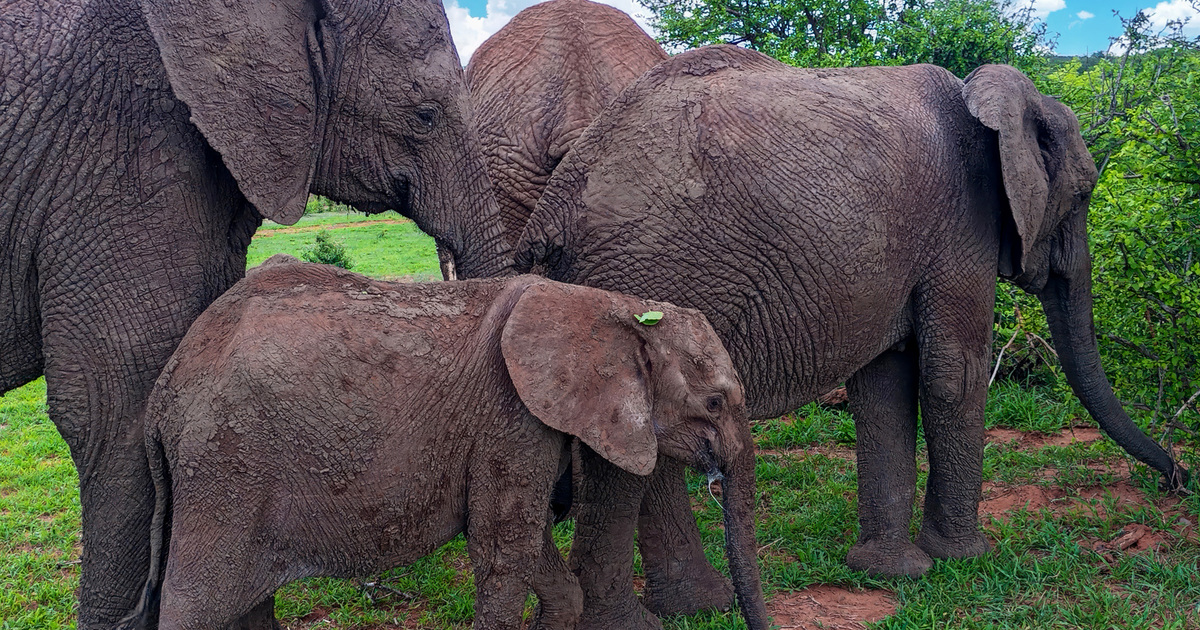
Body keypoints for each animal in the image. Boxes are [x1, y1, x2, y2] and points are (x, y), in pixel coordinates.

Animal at [116, 255, 768, 630]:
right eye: (715, 401)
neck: (610, 305)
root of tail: (166, 390)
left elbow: (534, 552)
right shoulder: (509, 415)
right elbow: (503, 551)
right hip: (225, 463)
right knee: (193, 604)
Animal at [515, 44, 1189, 623]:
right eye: (1083, 193)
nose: (1176, 480)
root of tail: (553, 209)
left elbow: (883, 384)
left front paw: (891, 573)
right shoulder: (961, 225)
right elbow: (955, 373)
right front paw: (967, 558)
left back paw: (695, 606)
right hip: (645, 269)